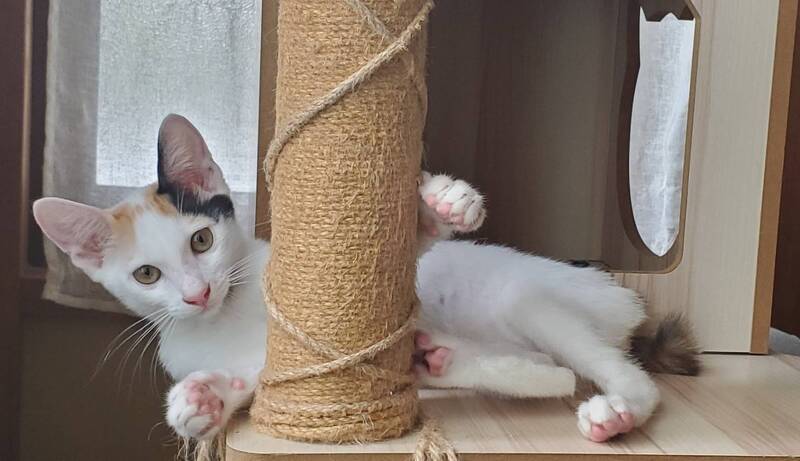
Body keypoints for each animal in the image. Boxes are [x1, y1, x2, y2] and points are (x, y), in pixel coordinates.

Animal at [33, 114, 699, 445]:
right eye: (146, 274)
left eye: (201, 240)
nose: (196, 294)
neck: (228, 315)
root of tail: (625, 303)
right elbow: (254, 379)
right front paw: (205, 401)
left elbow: (409, 248)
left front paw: (443, 206)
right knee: (551, 372)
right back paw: (438, 361)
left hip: (535, 303)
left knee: (610, 374)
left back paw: (617, 413)